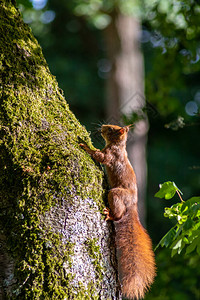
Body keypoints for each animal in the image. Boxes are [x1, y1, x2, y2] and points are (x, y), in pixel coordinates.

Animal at [80, 125, 156, 300]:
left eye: (110, 129)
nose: (102, 127)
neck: (119, 146)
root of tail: (133, 205)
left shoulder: (111, 155)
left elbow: (99, 156)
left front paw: (84, 145)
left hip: (116, 194)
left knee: (118, 214)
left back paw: (110, 214)